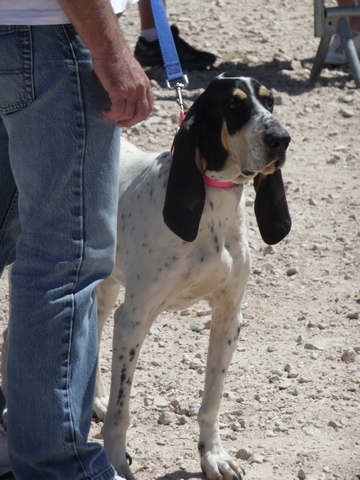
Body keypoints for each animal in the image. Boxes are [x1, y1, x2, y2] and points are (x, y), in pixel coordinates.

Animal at [92, 75, 290, 480]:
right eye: (233, 106)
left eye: (270, 102)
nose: (281, 139)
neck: (213, 205)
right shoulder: (133, 320)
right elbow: (122, 411)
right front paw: (116, 464)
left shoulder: (229, 317)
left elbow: (212, 401)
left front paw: (212, 456)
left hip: (104, 289)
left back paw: (96, 400)